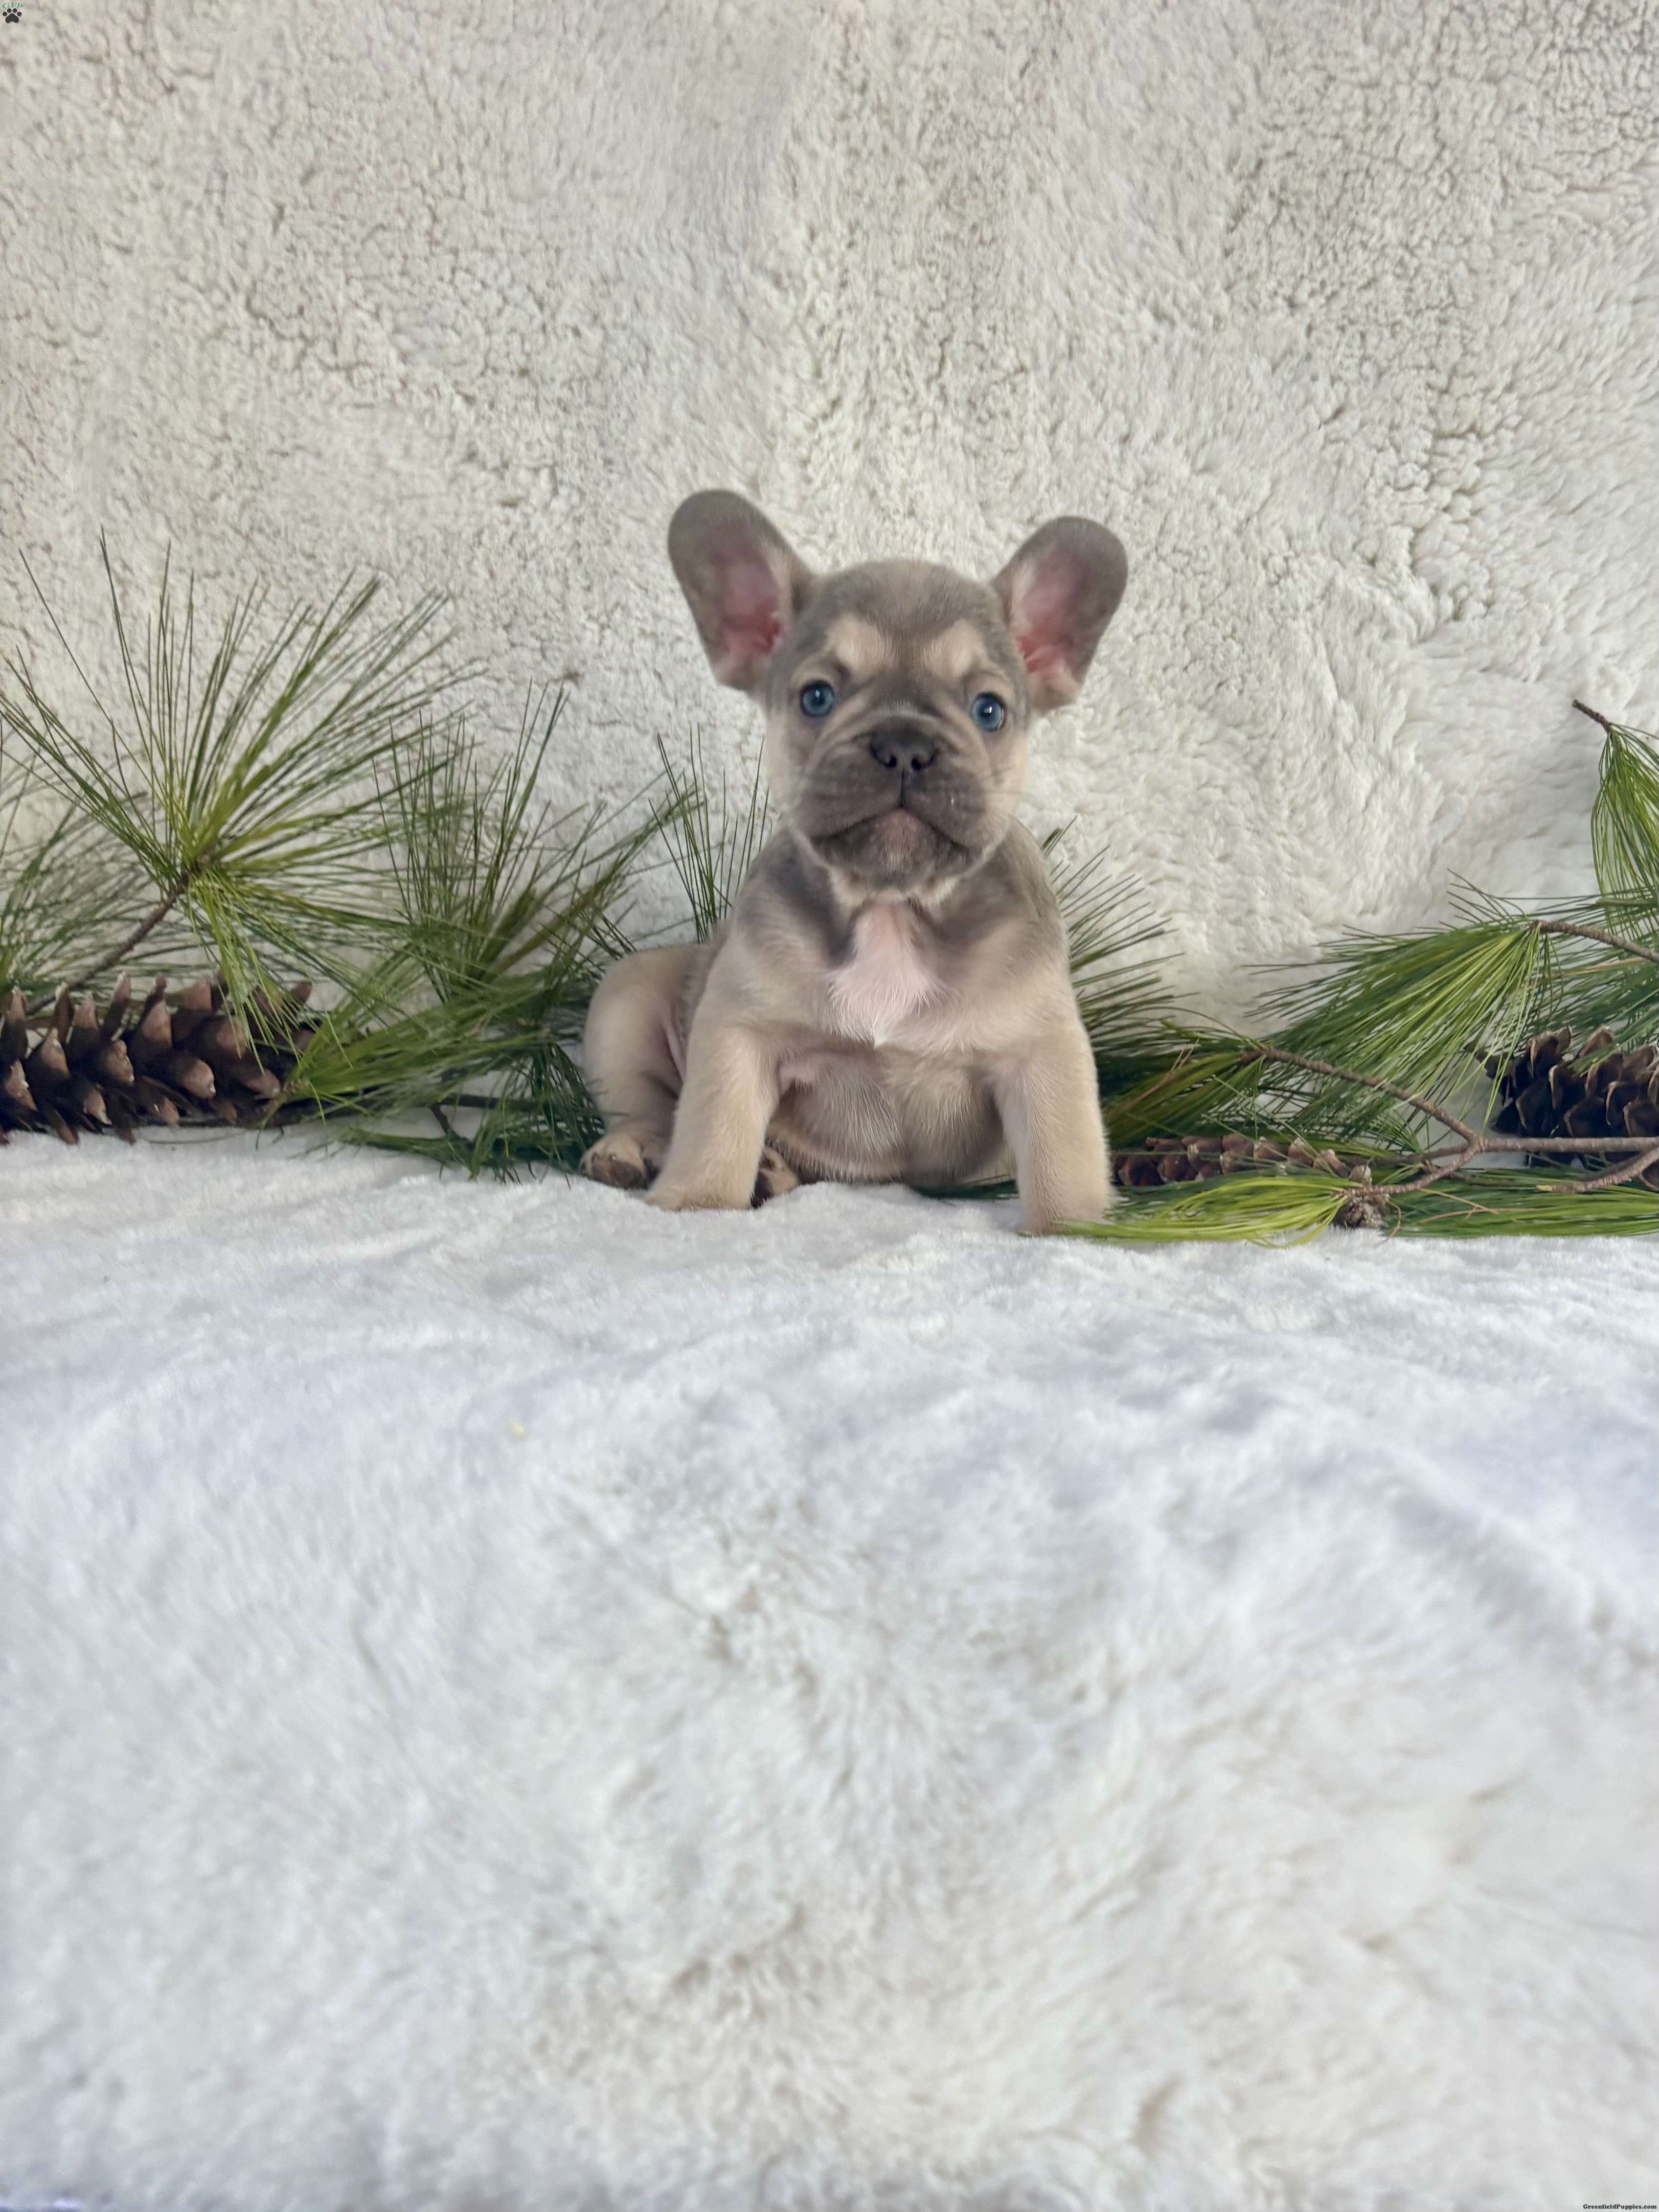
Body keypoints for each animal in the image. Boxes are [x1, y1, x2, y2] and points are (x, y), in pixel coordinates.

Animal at [579, 491, 1127, 1232]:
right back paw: (637, 1151)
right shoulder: (738, 1031)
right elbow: (714, 1126)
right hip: (627, 997)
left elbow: (1062, 1153)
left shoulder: (1041, 1051)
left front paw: (1074, 1229)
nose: (903, 744)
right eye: (817, 697)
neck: (891, 906)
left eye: (988, 710)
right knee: (649, 1107)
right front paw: (697, 1201)